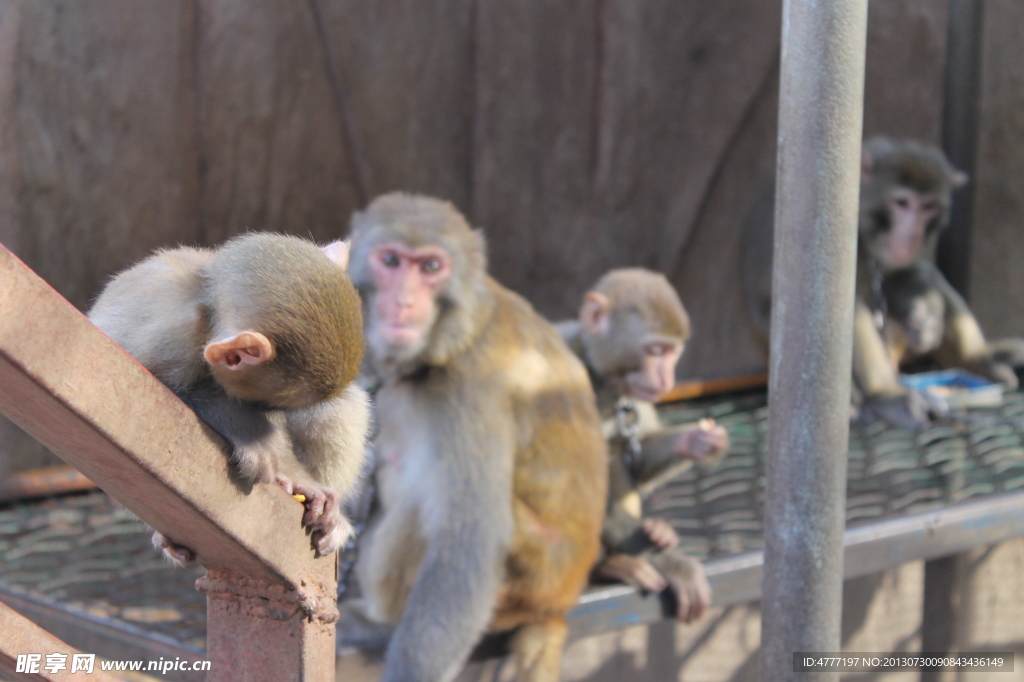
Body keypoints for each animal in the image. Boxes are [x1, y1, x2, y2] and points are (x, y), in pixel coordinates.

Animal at [342, 191, 606, 679]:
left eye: (431, 267)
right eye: (390, 260)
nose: (404, 301)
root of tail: (559, 602)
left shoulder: (469, 390)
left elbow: (469, 540)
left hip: (528, 582)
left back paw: (379, 622)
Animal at [557, 266, 724, 622]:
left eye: (673, 352)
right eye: (655, 351)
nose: (666, 379)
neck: (600, 377)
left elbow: (639, 452)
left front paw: (697, 441)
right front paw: (672, 564)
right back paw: (612, 565)